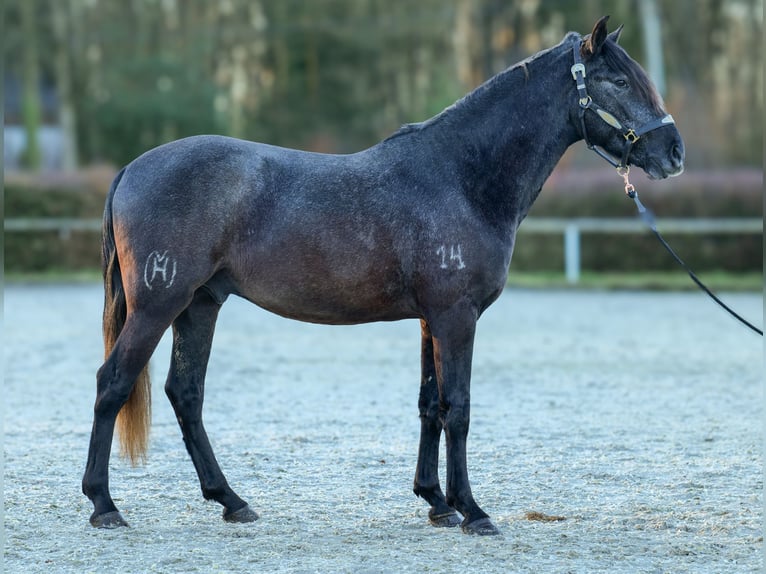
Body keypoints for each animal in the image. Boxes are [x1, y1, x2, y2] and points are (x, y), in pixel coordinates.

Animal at [82, 18, 684, 540]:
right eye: (619, 80)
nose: (674, 153)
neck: (460, 177)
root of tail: (132, 168)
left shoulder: (430, 319)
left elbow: (429, 405)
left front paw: (437, 503)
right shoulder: (456, 317)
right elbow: (458, 408)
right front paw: (473, 511)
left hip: (200, 303)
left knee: (185, 393)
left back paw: (231, 501)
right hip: (159, 305)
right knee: (113, 383)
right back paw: (104, 505)